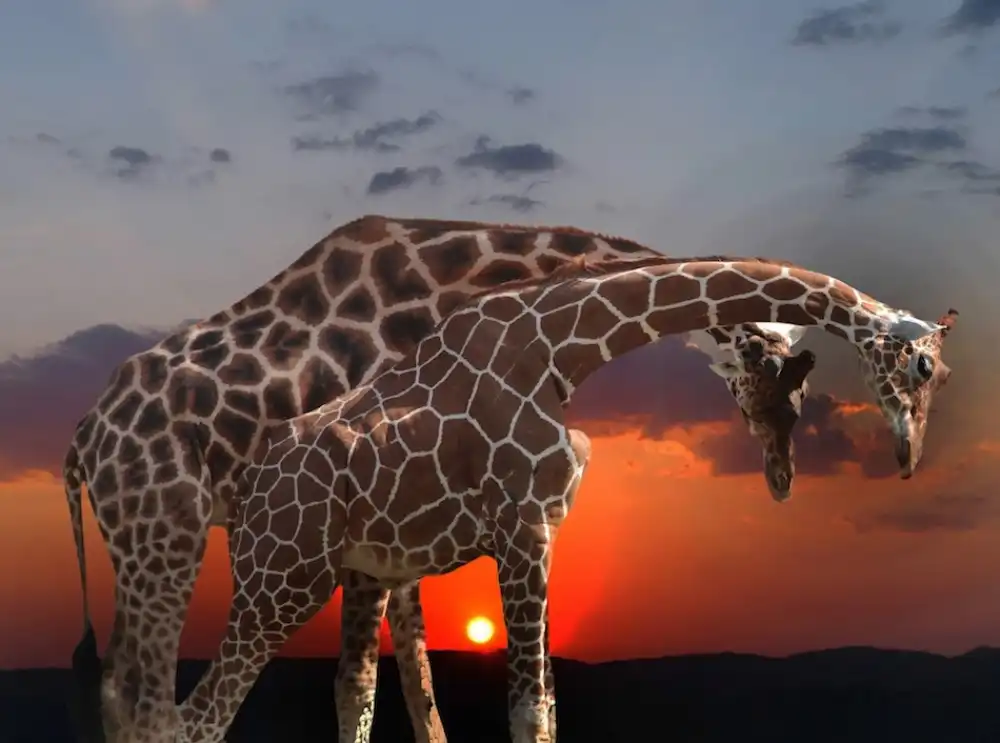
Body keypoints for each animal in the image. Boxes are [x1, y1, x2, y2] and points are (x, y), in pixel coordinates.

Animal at [60, 216, 816, 743]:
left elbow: (403, 682)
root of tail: (81, 441)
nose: (782, 475)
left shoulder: (395, 531)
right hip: (167, 539)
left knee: (119, 690)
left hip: (141, 548)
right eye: (767, 369)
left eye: (801, 392)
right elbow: (384, 679)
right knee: (150, 701)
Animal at [174, 254, 956, 743]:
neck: (563, 348)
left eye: (941, 379)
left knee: (349, 693)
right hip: (283, 577)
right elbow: (527, 712)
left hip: (359, 572)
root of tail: (247, 491)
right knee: (197, 717)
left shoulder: (543, 531)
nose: (909, 457)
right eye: (924, 368)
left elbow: (544, 706)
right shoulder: (521, 527)